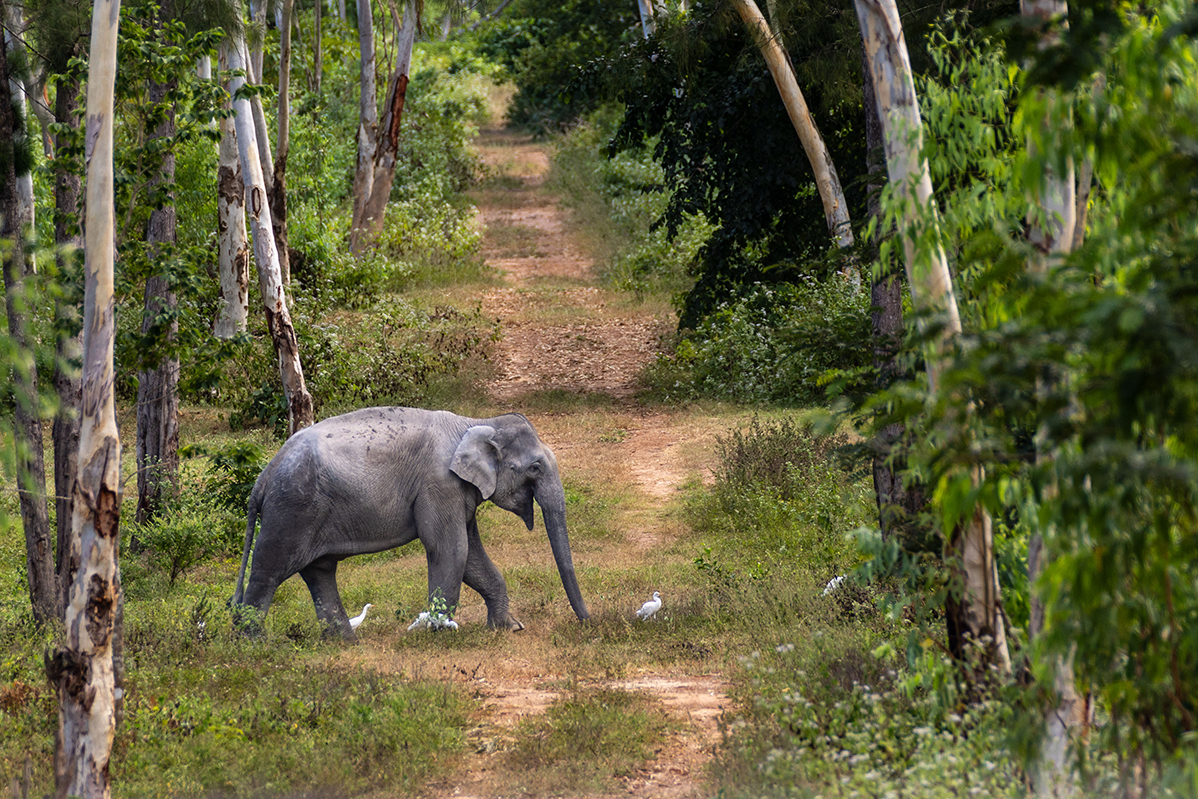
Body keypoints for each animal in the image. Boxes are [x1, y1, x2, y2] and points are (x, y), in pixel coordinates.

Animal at [230, 406, 590, 639]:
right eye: (535, 467)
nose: (587, 623)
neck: (475, 423)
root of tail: (263, 477)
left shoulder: (458, 491)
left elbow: (471, 556)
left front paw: (508, 628)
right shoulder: (439, 484)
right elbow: (451, 549)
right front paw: (437, 634)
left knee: (319, 571)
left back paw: (345, 643)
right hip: (292, 509)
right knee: (269, 572)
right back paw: (253, 646)